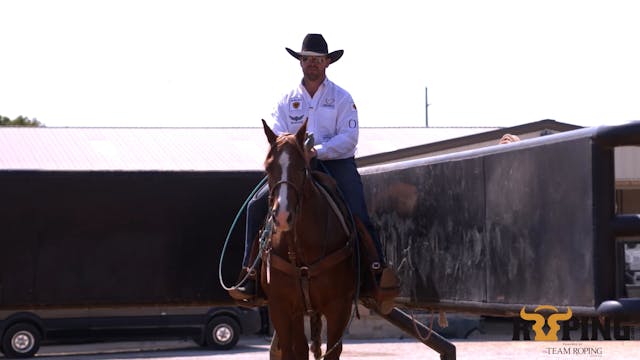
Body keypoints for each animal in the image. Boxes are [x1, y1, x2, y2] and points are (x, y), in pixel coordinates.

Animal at [260, 119, 358, 358]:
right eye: (268, 167)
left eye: (300, 167)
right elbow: (292, 351)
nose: (283, 215)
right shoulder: (282, 307)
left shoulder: (339, 307)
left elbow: (333, 350)